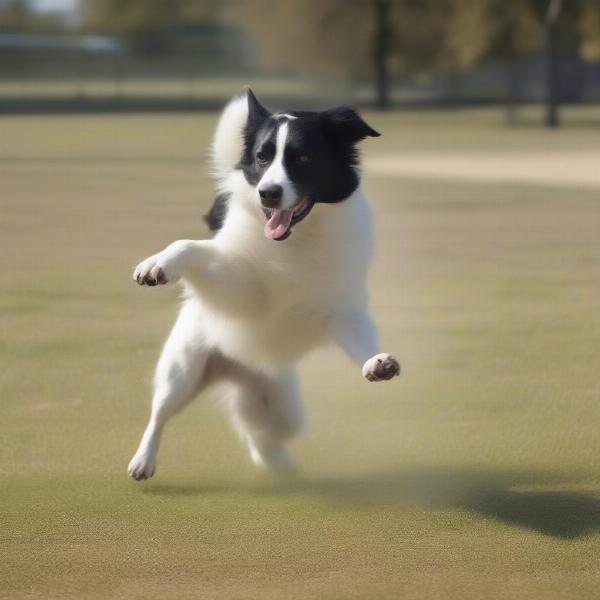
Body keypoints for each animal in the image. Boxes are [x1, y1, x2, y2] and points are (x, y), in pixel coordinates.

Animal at [127, 89, 398, 480]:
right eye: (261, 157)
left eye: (302, 157)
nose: (267, 193)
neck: (297, 240)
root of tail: (236, 367)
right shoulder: (240, 289)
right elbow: (188, 245)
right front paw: (158, 265)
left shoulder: (342, 310)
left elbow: (362, 343)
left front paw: (377, 364)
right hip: (182, 371)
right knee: (160, 414)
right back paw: (143, 460)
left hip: (281, 405)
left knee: (259, 433)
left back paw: (279, 464)